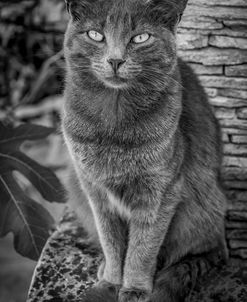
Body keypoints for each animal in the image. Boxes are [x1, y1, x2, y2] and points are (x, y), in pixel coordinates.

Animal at [61, 0, 228, 302]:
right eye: (95, 35)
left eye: (140, 38)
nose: (115, 60)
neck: (114, 123)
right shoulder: (94, 189)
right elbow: (111, 241)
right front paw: (110, 284)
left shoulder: (160, 191)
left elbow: (143, 246)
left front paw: (135, 289)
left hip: (203, 206)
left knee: (199, 253)